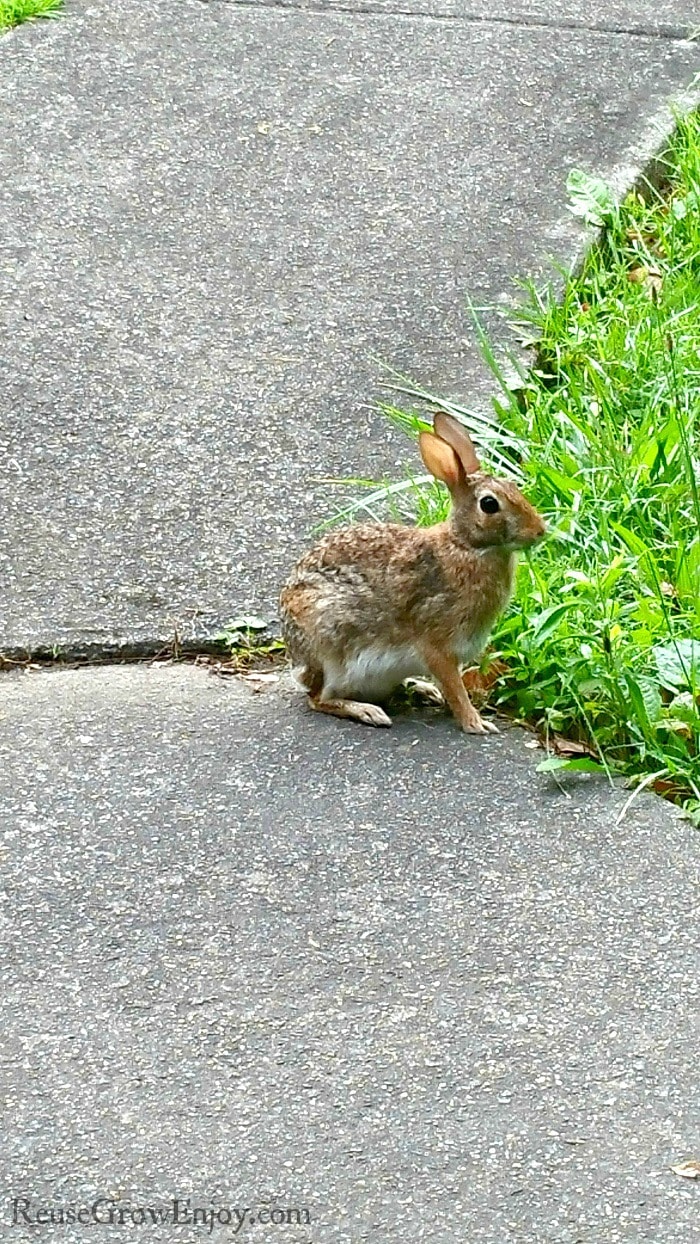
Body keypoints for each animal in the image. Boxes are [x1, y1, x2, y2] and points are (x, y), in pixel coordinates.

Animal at [279, 413, 547, 731]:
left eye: (513, 486)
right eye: (489, 504)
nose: (540, 531)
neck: (465, 545)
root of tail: (298, 662)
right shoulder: (437, 646)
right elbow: (455, 688)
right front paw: (476, 724)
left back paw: (422, 690)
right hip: (329, 647)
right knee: (318, 698)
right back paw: (368, 711)